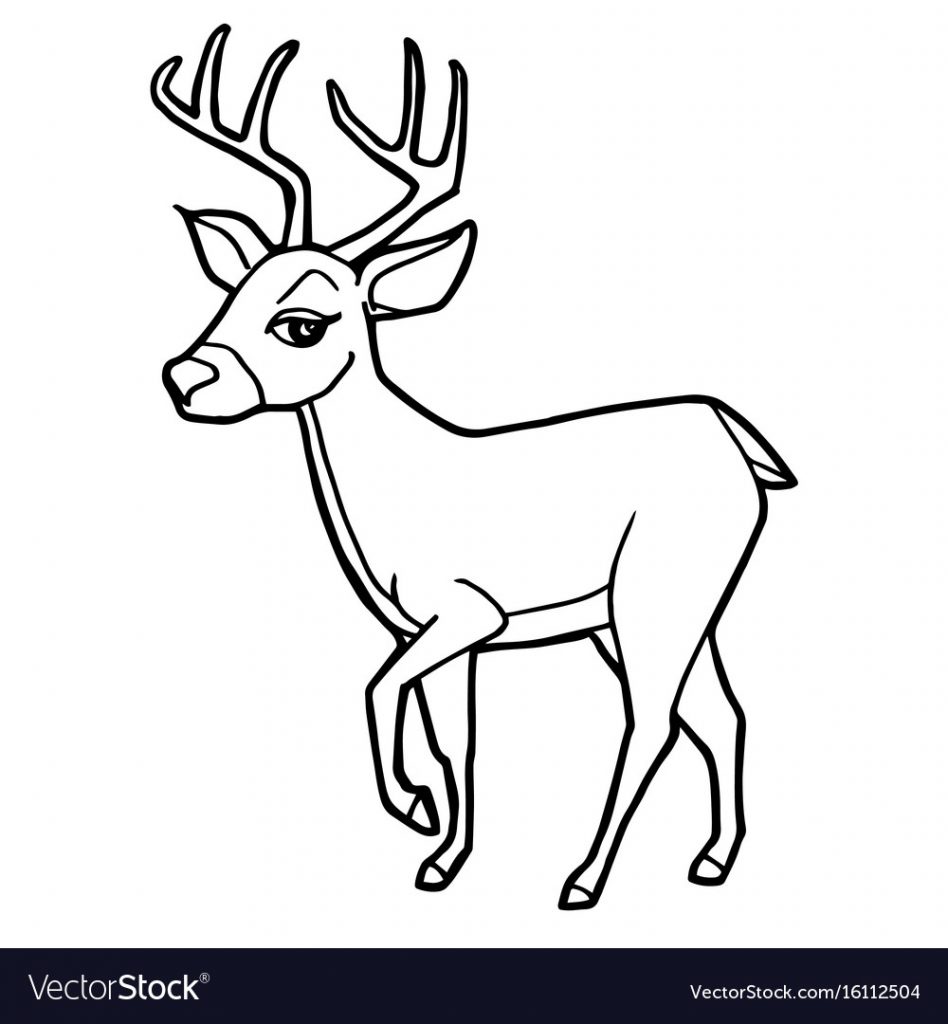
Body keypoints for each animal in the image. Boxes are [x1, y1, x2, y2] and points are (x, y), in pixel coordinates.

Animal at [152, 25, 796, 910]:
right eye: (232, 295)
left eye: (303, 323)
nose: (185, 377)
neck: (403, 484)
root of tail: (733, 437)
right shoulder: (433, 631)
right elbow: (456, 739)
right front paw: (444, 859)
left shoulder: (466, 612)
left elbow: (379, 688)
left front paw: (412, 808)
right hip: (666, 605)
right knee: (719, 712)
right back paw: (713, 860)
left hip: (659, 590)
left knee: (653, 720)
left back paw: (584, 881)